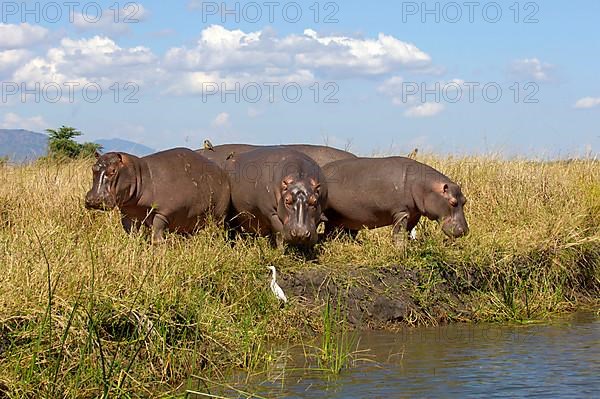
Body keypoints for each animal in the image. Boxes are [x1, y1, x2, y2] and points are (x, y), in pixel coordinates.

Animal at [85, 148, 231, 244]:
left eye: (113, 171)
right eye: (93, 168)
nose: (92, 199)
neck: (139, 175)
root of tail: (223, 174)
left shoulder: (163, 213)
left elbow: (157, 236)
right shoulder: (128, 214)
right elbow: (131, 233)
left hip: (218, 218)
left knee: (216, 231)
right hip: (189, 221)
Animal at [324, 157, 468, 244]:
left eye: (464, 200)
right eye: (453, 202)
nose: (465, 231)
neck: (424, 185)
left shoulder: (414, 213)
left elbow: (408, 230)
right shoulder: (401, 212)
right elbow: (399, 232)